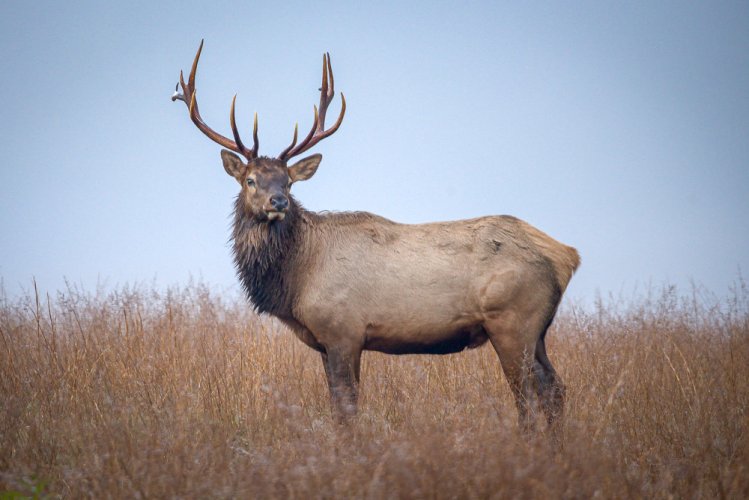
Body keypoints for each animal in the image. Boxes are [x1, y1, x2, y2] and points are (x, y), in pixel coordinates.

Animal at [174, 42, 580, 434]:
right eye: (250, 179)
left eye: (288, 182)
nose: (279, 202)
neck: (297, 280)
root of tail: (566, 256)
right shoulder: (327, 344)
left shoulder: (344, 330)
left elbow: (346, 409)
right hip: (536, 332)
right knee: (555, 388)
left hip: (512, 321)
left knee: (528, 394)